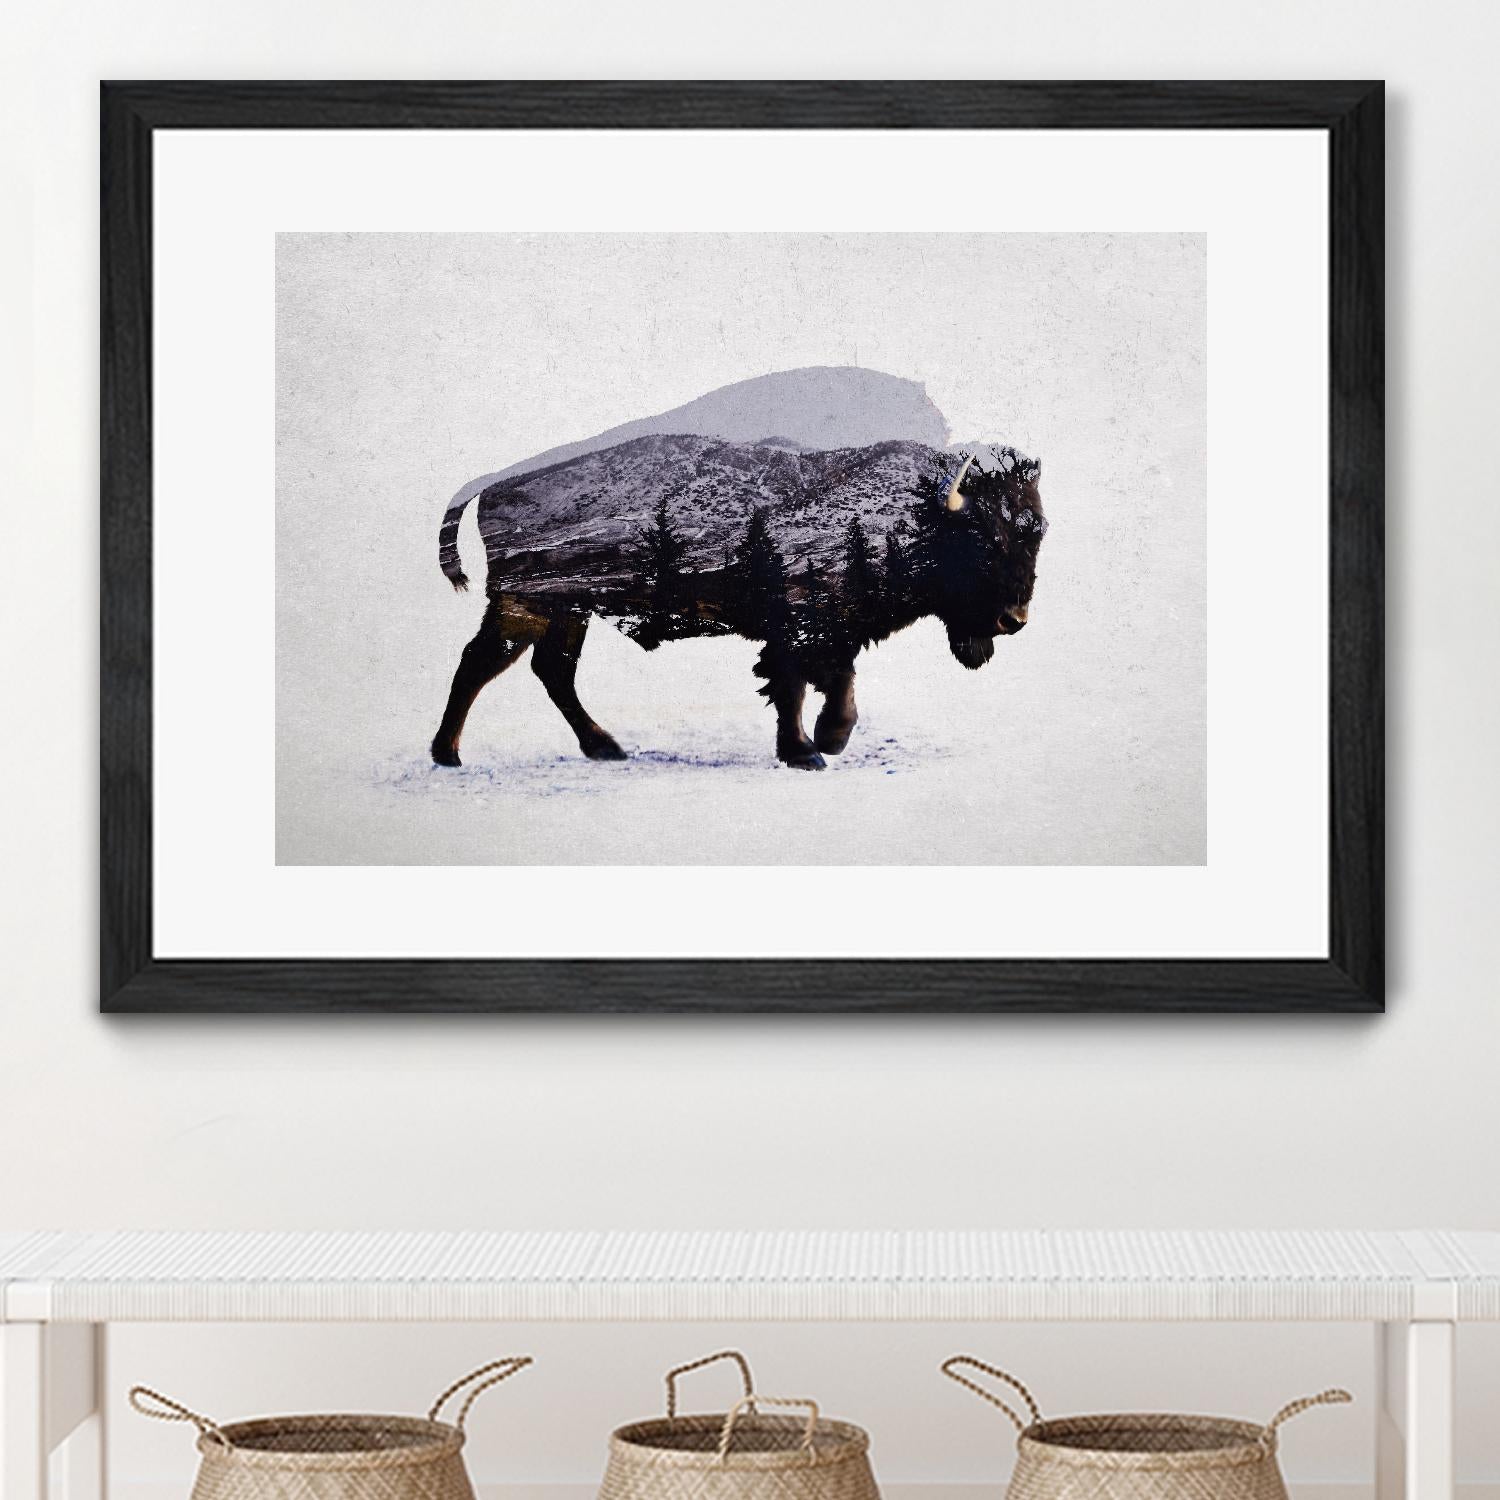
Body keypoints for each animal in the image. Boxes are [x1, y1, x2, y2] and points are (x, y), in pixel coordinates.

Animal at [432, 432, 1045, 770]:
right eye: (985, 540)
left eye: (1036, 534)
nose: (1012, 620)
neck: (915, 511)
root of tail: (494, 483)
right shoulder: (800, 627)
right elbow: (797, 685)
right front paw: (810, 750)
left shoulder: (832, 633)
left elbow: (835, 684)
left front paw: (827, 741)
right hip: (524, 606)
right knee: (481, 664)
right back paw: (449, 755)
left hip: (567, 611)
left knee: (551, 670)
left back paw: (604, 747)